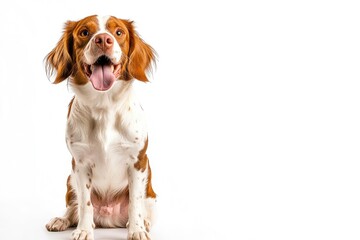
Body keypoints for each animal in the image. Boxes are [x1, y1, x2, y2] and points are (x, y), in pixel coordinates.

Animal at [44, 15, 156, 240]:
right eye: (84, 32)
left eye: (119, 32)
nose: (103, 40)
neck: (104, 107)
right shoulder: (80, 163)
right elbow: (85, 204)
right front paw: (84, 230)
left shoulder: (138, 161)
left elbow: (135, 202)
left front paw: (137, 230)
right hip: (70, 179)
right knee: (73, 209)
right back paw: (61, 220)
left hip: (151, 187)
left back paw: (144, 223)